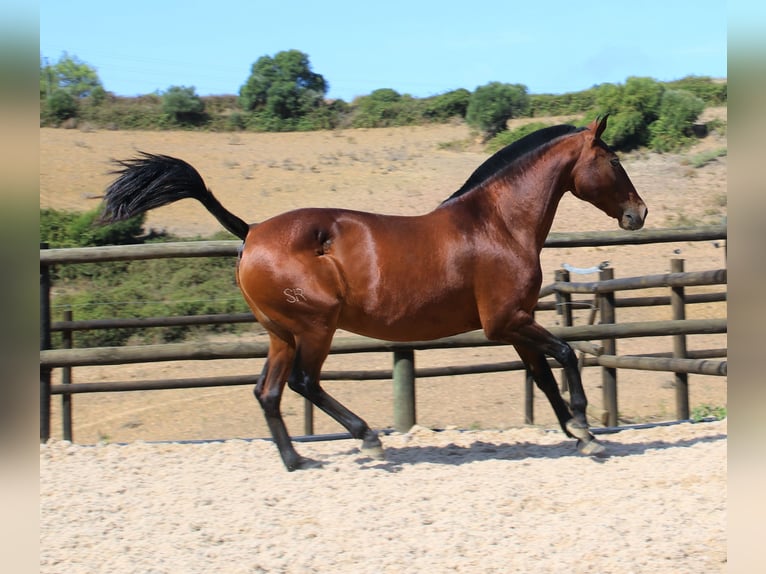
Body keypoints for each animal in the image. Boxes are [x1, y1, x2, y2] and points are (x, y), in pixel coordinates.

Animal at [100, 116, 647, 471]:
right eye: (614, 160)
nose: (638, 214)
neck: (497, 224)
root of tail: (250, 231)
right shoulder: (507, 321)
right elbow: (567, 355)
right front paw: (586, 428)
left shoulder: (514, 324)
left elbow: (544, 376)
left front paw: (578, 434)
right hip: (315, 327)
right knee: (303, 383)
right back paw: (367, 441)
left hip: (281, 334)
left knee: (268, 391)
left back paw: (297, 461)